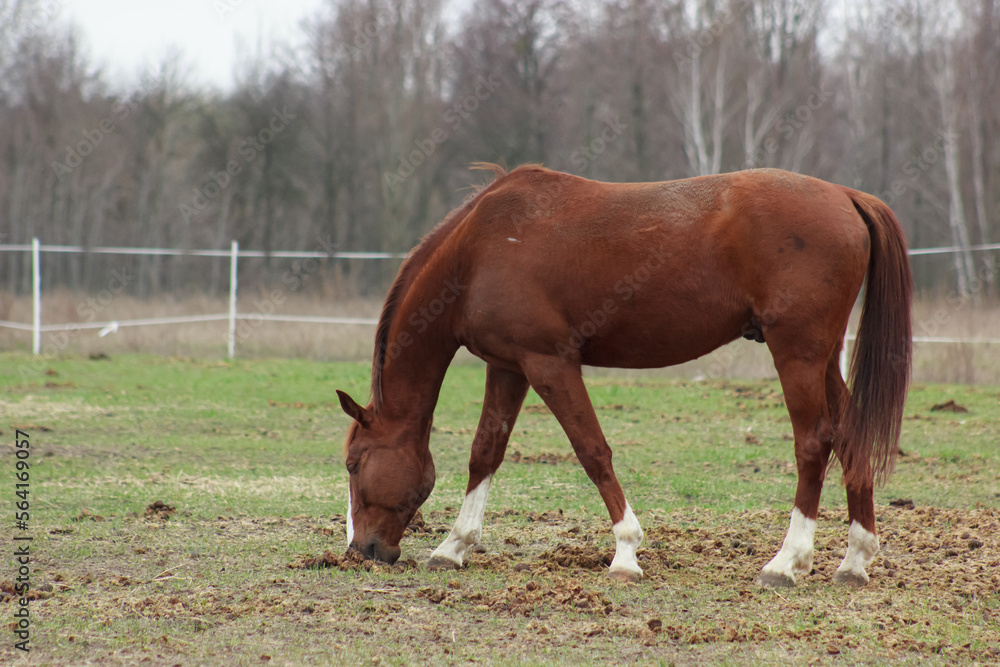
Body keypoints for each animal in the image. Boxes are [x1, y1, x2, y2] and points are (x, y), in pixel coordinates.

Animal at [336, 163, 912, 587]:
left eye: (353, 463)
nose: (362, 550)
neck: (480, 248)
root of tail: (845, 195)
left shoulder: (549, 362)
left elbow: (592, 451)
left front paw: (626, 553)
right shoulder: (508, 367)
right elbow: (486, 453)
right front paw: (452, 547)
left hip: (797, 354)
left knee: (814, 443)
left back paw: (786, 562)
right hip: (823, 359)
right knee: (850, 438)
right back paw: (854, 560)